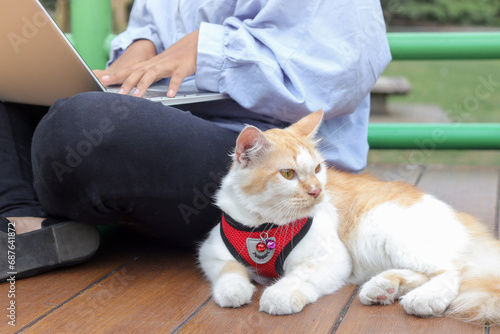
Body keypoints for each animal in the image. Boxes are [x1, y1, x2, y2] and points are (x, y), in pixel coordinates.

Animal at [199, 110, 500, 326]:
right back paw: (384, 288)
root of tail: (460, 216)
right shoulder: (211, 252)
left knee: (453, 269)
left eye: (317, 169)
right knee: (425, 271)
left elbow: (299, 276)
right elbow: (229, 271)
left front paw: (279, 294)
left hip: (386, 232)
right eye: (287, 174)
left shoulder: (332, 258)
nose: (317, 191)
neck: (265, 225)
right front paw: (234, 291)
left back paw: (425, 298)